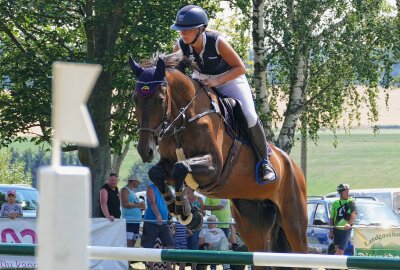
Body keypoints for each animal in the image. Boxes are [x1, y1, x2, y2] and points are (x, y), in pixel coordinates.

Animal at [130, 53, 308, 270]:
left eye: (160, 99)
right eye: (135, 99)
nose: (145, 150)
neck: (184, 119)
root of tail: (293, 166)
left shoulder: (214, 168)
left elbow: (181, 168)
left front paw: (187, 213)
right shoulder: (168, 163)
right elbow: (156, 173)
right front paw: (184, 212)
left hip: (294, 222)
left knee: (301, 250)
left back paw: (266, 171)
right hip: (252, 223)